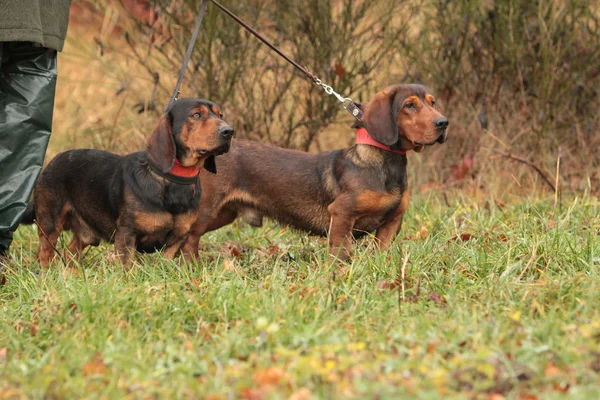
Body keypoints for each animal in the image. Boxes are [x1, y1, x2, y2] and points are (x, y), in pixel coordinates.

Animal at [21, 97, 233, 268]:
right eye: (196, 115)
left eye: (220, 114)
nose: (229, 131)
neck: (174, 180)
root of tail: (52, 162)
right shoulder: (127, 234)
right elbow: (126, 266)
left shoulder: (178, 238)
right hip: (49, 223)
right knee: (44, 253)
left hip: (85, 234)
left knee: (71, 251)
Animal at [180, 84, 448, 260]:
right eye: (409, 105)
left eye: (433, 102)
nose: (444, 123)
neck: (385, 165)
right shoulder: (342, 215)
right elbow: (341, 254)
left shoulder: (391, 223)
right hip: (206, 211)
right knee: (189, 241)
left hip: (223, 214)